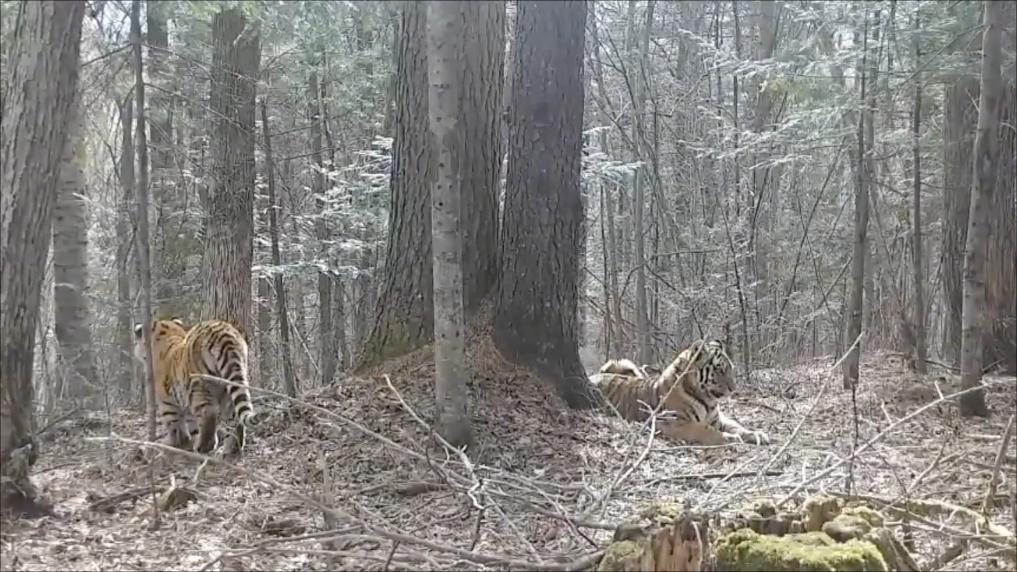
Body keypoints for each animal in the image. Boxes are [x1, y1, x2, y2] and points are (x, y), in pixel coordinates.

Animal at [133, 317, 255, 456]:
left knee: (209, 412)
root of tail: (222, 332)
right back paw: (231, 450)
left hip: (199, 386)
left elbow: (174, 425)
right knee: (235, 417)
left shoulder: (166, 401)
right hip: (230, 385)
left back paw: (204, 447)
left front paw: (172, 444)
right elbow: (193, 425)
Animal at [589, 340, 769, 446]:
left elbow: (737, 426)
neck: (708, 401)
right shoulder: (672, 422)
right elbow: (702, 429)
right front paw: (728, 438)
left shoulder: (717, 420)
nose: (733, 388)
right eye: (719, 369)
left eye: (730, 368)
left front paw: (757, 434)